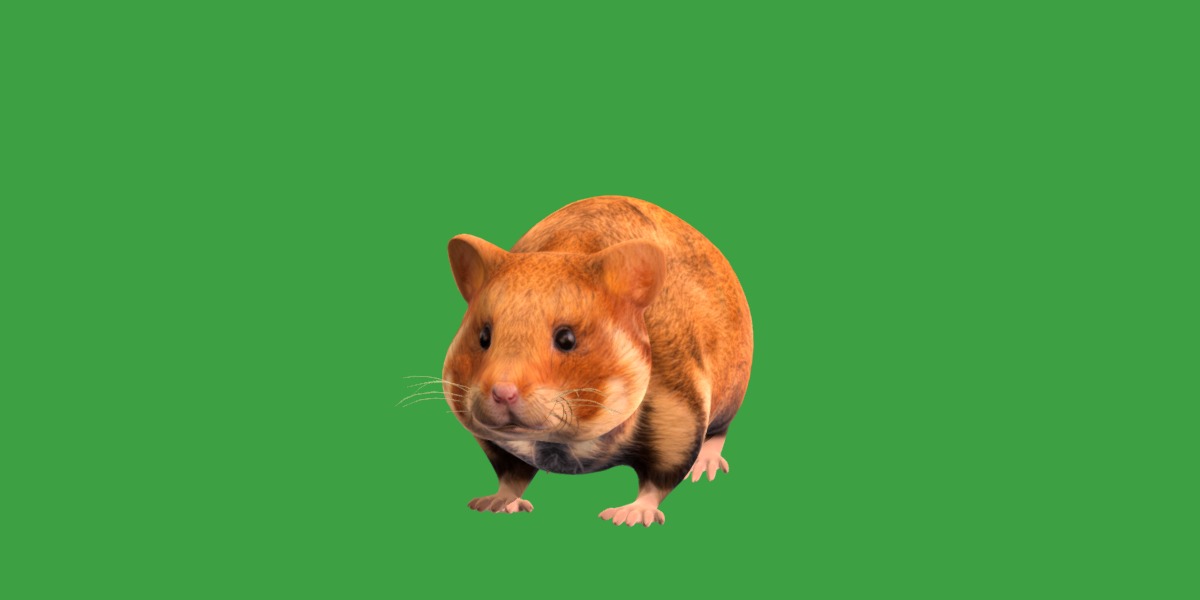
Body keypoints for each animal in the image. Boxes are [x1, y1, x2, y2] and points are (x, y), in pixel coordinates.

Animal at [441, 195, 753, 527]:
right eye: (483, 337)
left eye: (567, 339)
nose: (502, 392)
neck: (560, 443)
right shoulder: (496, 443)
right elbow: (511, 474)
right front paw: (497, 502)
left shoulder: (680, 410)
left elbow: (662, 475)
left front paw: (630, 514)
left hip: (731, 393)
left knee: (719, 430)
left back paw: (706, 465)